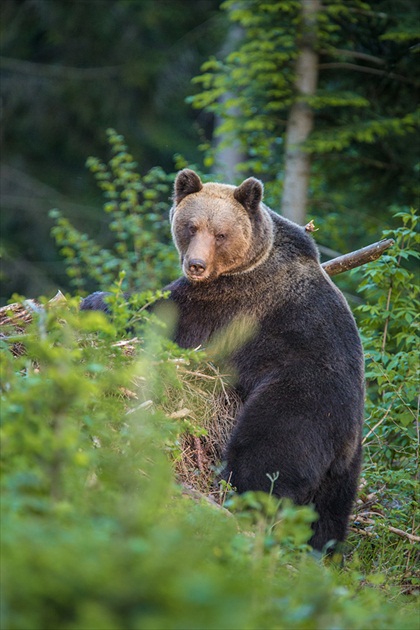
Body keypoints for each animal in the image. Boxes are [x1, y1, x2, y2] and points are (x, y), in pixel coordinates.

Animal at [81, 168, 364, 552]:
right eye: (191, 226)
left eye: (221, 233)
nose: (196, 265)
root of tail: (344, 440)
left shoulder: (230, 304)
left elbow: (166, 316)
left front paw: (97, 300)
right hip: (346, 474)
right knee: (329, 518)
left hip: (299, 407)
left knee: (263, 463)